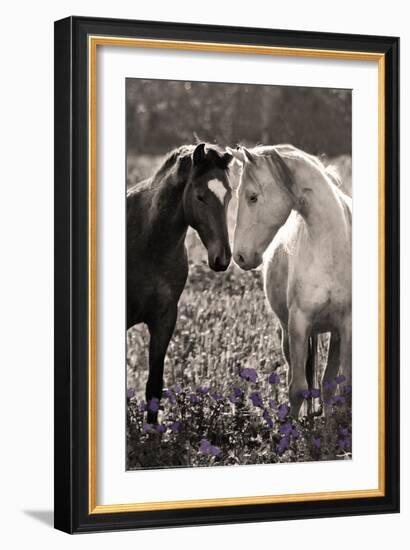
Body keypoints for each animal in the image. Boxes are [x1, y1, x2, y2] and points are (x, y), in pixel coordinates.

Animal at [229, 146, 350, 418]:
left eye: (252, 197)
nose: (239, 256)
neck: (331, 249)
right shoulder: (299, 324)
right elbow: (297, 389)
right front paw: (289, 429)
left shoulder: (346, 326)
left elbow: (339, 387)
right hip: (287, 332)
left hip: (334, 334)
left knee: (327, 384)